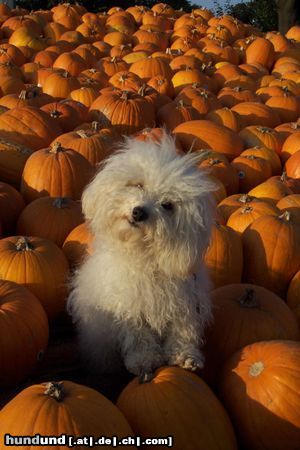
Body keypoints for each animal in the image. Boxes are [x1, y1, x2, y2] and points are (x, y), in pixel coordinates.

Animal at [67, 134, 216, 380]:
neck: (144, 257)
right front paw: (143, 361)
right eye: (138, 185)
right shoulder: (130, 307)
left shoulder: (184, 305)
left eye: (167, 205)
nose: (139, 212)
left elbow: (183, 332)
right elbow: (139, 338)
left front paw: (185, 356)